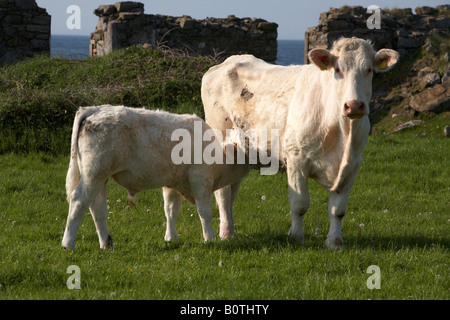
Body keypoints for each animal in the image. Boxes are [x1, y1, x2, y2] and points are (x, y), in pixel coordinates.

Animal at [61, 105, 250, 250]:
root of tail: (94, 109)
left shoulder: (171, 184)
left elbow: (171, 210)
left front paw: (171, 238)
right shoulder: (201, 181)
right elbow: (204, 212)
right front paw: (209, 238)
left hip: (100, 178)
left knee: (97, 207)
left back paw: (106, 243)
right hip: (94, 174)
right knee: (79, 201)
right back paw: (68, 244)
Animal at [202, 38, 400, 250]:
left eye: (369, 69)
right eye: (338, 69)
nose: (354, 105)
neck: (342, 133)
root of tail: (226, 62)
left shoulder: (352, 165)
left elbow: (338, 209)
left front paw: (335, 243)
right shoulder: (297, 159)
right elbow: (300, 204)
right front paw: (296, 237)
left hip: (241, 153)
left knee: (231, 189)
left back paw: (230, 231)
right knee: (223, 194)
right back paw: (226, 233)